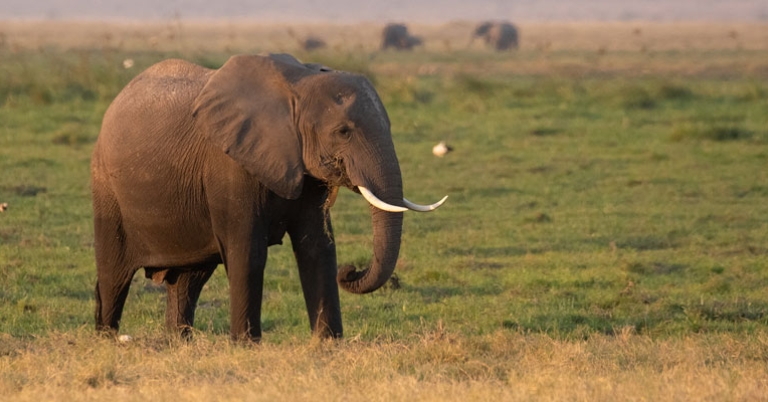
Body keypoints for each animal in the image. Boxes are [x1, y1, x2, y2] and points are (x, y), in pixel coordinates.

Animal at [91, 53, 446, 342]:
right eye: (343, 132)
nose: (350, 271)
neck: (298, 86)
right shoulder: (231, 163)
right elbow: (248, 252)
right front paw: (246, 345)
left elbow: (317, 248)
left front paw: (328, 343)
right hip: (106, 189)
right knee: (114, 276)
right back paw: (107, 338)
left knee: (188, 281)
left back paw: (180, 342)